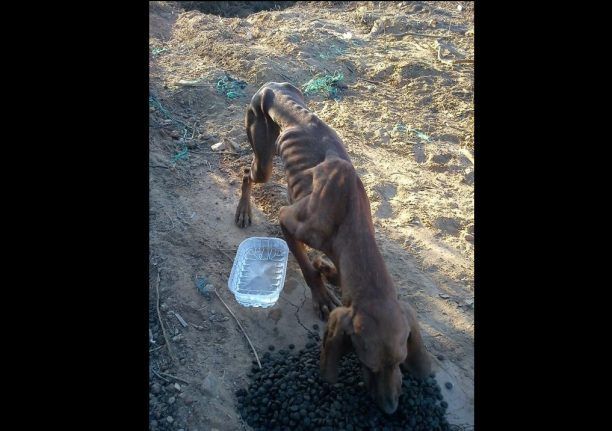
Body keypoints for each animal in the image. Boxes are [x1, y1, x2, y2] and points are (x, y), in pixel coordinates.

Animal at [234, 82, 430, 416]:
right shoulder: (287, 220)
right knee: (248, 174)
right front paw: (322, 294)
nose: (391, 408)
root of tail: (271, 86)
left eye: (400, 361)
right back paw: (244, 209)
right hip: (263, 158)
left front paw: (327, 270)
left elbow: (334, 271)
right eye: (368, 365)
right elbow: (306, 267)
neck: (351, 222)